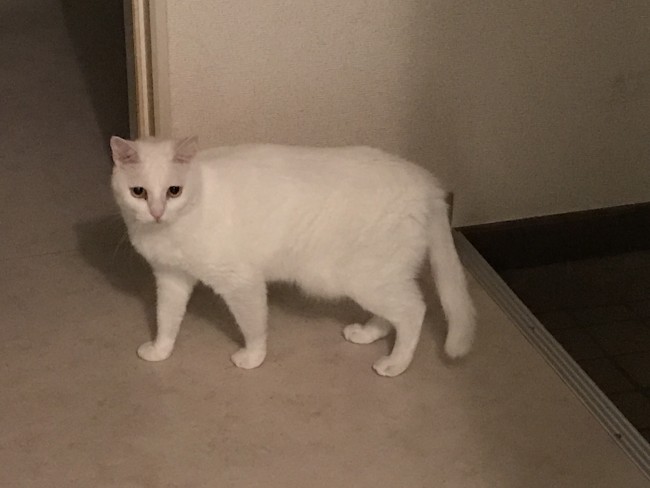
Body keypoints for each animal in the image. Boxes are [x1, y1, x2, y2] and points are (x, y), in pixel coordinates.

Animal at [110, 136, 476, 377]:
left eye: (174, 191)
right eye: (138, 192)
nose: (157, 212)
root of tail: (429, 186)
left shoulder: (241, 283)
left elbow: (254, 326)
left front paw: (252, 358)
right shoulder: (171, 279)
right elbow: (166, 320)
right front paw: (160, 350)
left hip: (365, 278)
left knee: (414, 311)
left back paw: (394, 365)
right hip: (378, 279)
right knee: (393, 315)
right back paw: (367, 334)